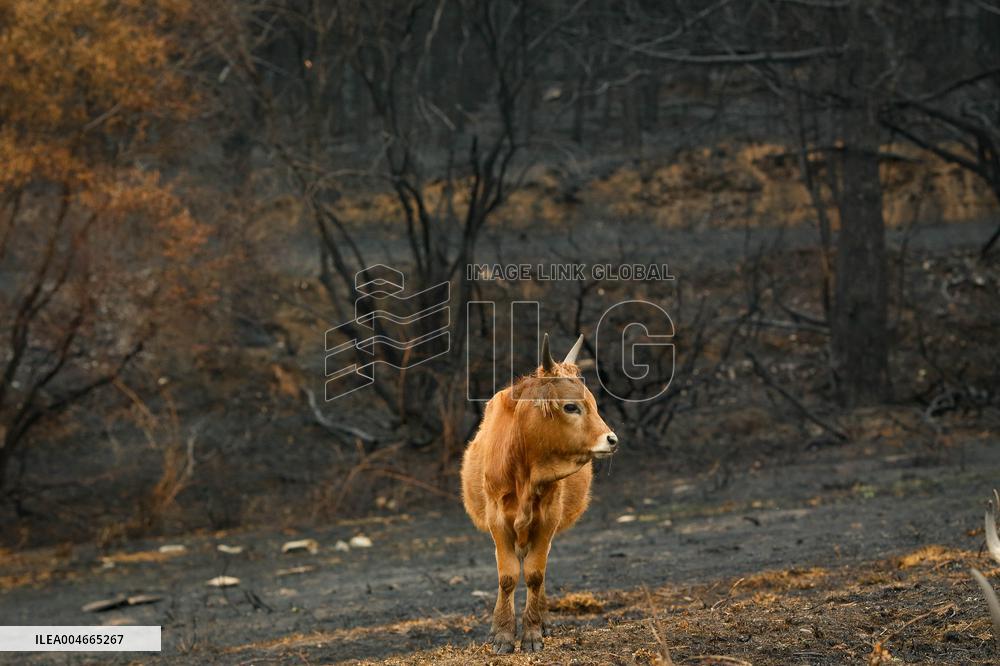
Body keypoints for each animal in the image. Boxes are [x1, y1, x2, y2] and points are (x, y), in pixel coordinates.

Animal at [460, 333, 619, 653]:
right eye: (570, 407)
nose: (612, 439)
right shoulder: (498, 521)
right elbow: (507, 577)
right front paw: (502, 634)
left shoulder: (547, 520)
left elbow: (535, 575)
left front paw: (532, 633)